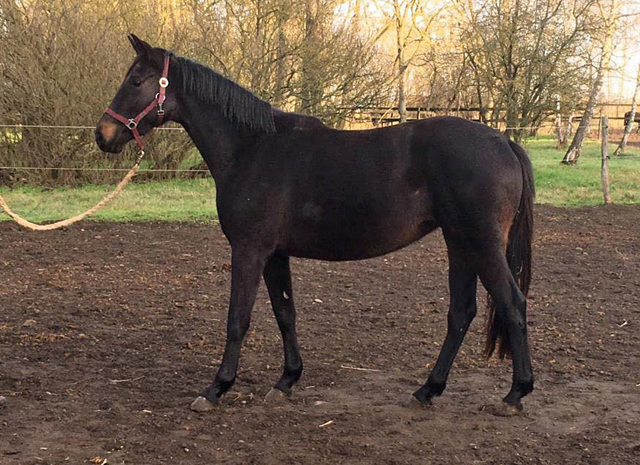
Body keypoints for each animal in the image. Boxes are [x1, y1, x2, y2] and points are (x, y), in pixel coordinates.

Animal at [95, 35, 536, 414]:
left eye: (136, 80)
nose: (104, 134)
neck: (252, 149)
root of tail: (504, 141)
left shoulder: (250, 250)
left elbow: (238, 319)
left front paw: (216, 388)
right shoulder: (274, 254)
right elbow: (284, 313)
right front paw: (286, 380)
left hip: (481, 245)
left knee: (512, 304)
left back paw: (515, 394)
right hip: (459, 244)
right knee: (460, 313)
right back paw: (428, 389)